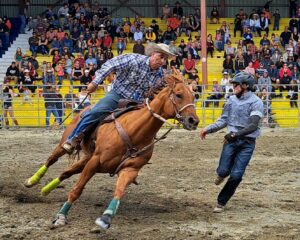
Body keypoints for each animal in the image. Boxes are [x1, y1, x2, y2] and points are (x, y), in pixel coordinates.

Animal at [27, 74, 199, 230]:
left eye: (194, 96)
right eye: (179, 94)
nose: (194, 121)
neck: (133, 131)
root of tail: (86, 108)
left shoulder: (130, 169)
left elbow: (119, 191)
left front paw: (106, 218)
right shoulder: (94, 162)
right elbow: (77, 190)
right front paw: (61, 217)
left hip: (86, 158)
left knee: (65, 173)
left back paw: (45, 190)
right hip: (67, 143)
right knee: (52, 159)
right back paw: (32, 180)